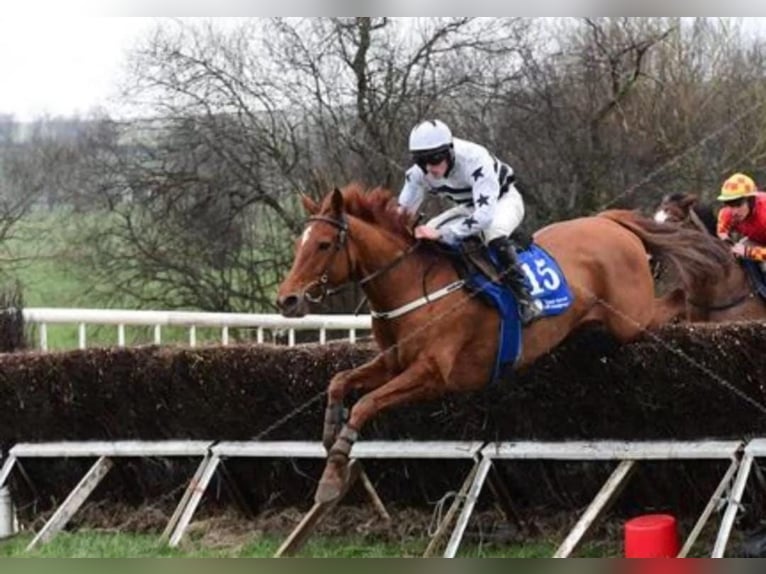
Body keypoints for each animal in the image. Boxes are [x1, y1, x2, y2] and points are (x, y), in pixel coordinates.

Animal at [276, 183, 729, 503]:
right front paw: (329, 430)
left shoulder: (432, 375)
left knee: (674, 302)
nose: (287, 300)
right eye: (299, 243)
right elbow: (339, 380)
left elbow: (367, 404)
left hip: (630, 318)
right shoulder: (391, 364)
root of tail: (610, 222)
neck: (413, 287)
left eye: (322, 244)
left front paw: (333, 473)